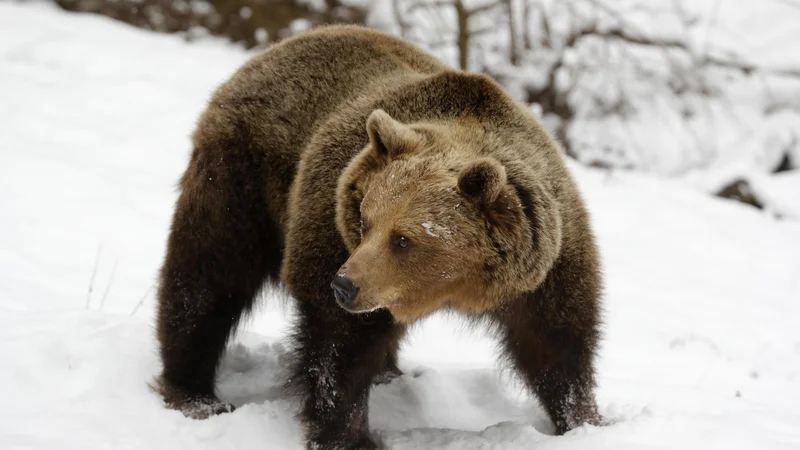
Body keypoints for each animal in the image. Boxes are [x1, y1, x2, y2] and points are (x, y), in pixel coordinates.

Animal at [153, 25, 604, 450]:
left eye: (403, 239)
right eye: (366, 220)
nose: (344, 283)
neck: (459, 289)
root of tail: (269, 53)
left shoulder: (547, 267)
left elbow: (557, 346)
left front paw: (584, 420)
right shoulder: (330, 233)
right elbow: (338, 350)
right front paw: (349, 435)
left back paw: (389, 373)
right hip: (241, 179)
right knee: (208, 276)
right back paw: (196, 394)